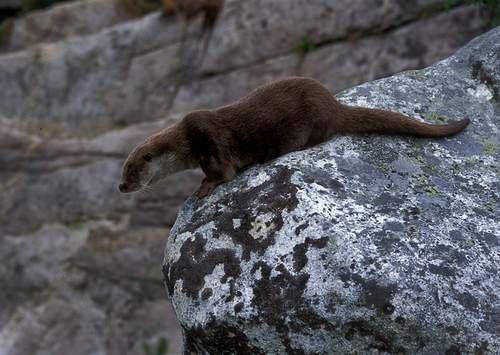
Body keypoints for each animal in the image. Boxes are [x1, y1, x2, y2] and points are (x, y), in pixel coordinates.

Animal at [119, 77, 470, 197]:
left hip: (313, 120)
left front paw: (204, 186)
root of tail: (332, 103)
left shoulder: (208, 140)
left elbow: (223, 173)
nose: (121, 187)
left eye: (131, 170)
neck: (185, 142)